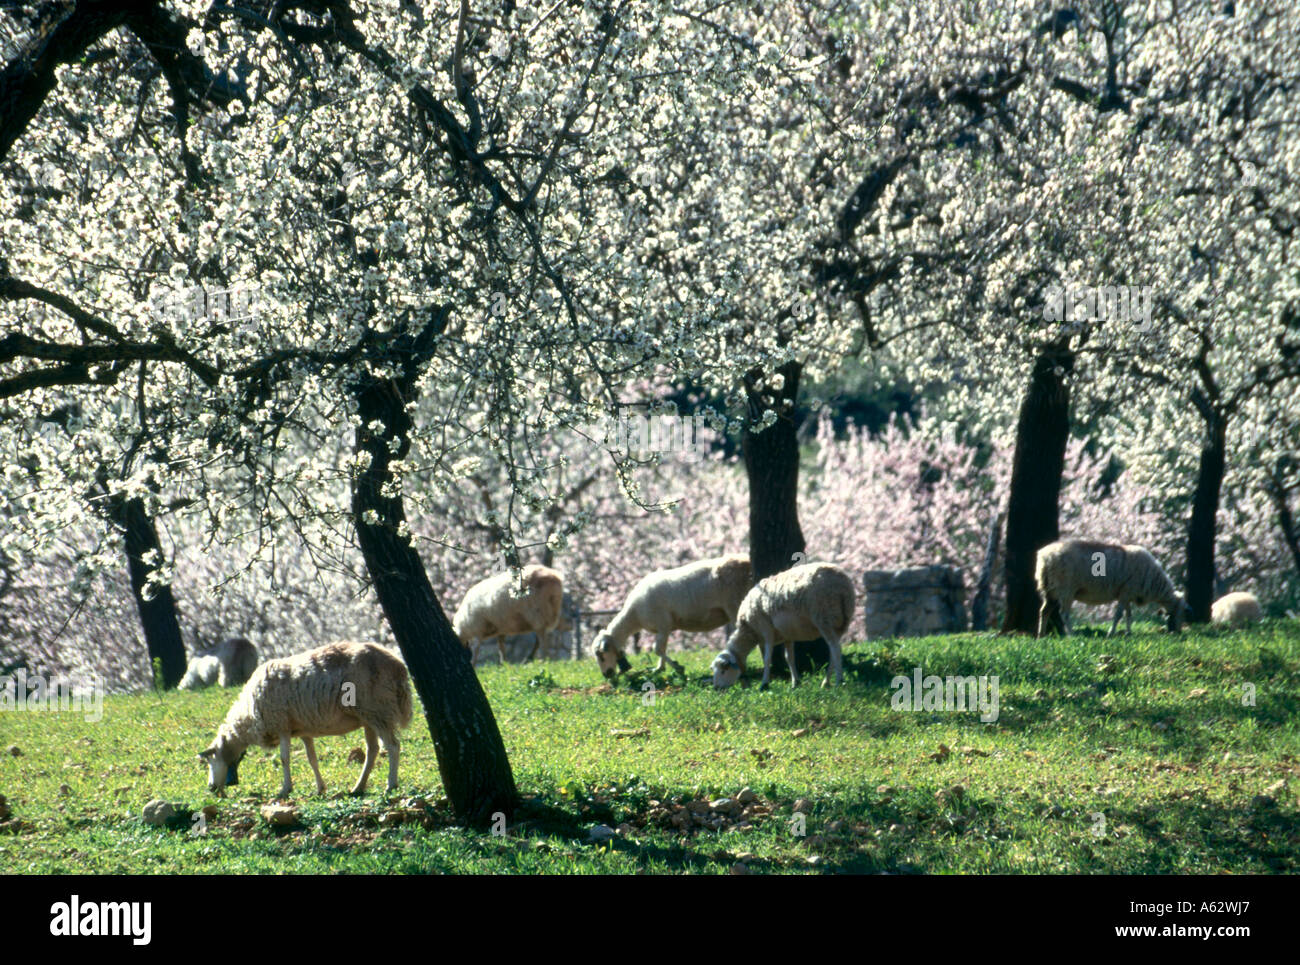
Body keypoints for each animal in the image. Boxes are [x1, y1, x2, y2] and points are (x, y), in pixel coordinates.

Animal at [196, 642, 410, 801]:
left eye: (209, 760)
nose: (211, 788)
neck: (248, 716)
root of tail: (398, 666)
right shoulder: (303, 731)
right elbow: (311, 759)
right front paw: (320, 788)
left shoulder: (281, 725)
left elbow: (284, 758)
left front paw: (285, 789)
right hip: (369, 717)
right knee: (372, 751)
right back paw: (358, 787)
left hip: (379, 709)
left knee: (392, 746)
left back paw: (391, 785)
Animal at [592, 551, 754, 681]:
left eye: (601, 655)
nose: (607, 675)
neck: (634, 616)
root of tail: (746, 559)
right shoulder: (662, 628)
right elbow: (661, 649)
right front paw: (659, 669)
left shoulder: (663, 623)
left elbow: (657, 649)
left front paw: (678, 668)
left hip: (736, 603)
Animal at [712, 564, 852, 691]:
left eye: (723, 671)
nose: (716, 688)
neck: (749, 631)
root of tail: (842, 585)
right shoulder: (787, 636)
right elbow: (789, 658)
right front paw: (795, 683)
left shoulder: (766, 630)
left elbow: (767, 658)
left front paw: (764, 684)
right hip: (841, 622)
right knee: (833, 651)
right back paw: (826, 683)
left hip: (824, 616)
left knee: (835, 649)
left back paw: (838, 681)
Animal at [1034, 541, 1190, 639]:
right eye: (1181, 612)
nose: (1178, 632)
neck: (1154, 582)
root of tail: (1045, 557)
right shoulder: (1126, 592)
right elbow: (1118, 615)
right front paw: (1111, 633)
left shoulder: (1127, 594)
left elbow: (1129, 615)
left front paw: (1128, 633)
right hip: (1066, 590)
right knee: (1064, 614)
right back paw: (1072, 635)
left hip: (1049, 591)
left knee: (1044, 611)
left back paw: (1041, 635)